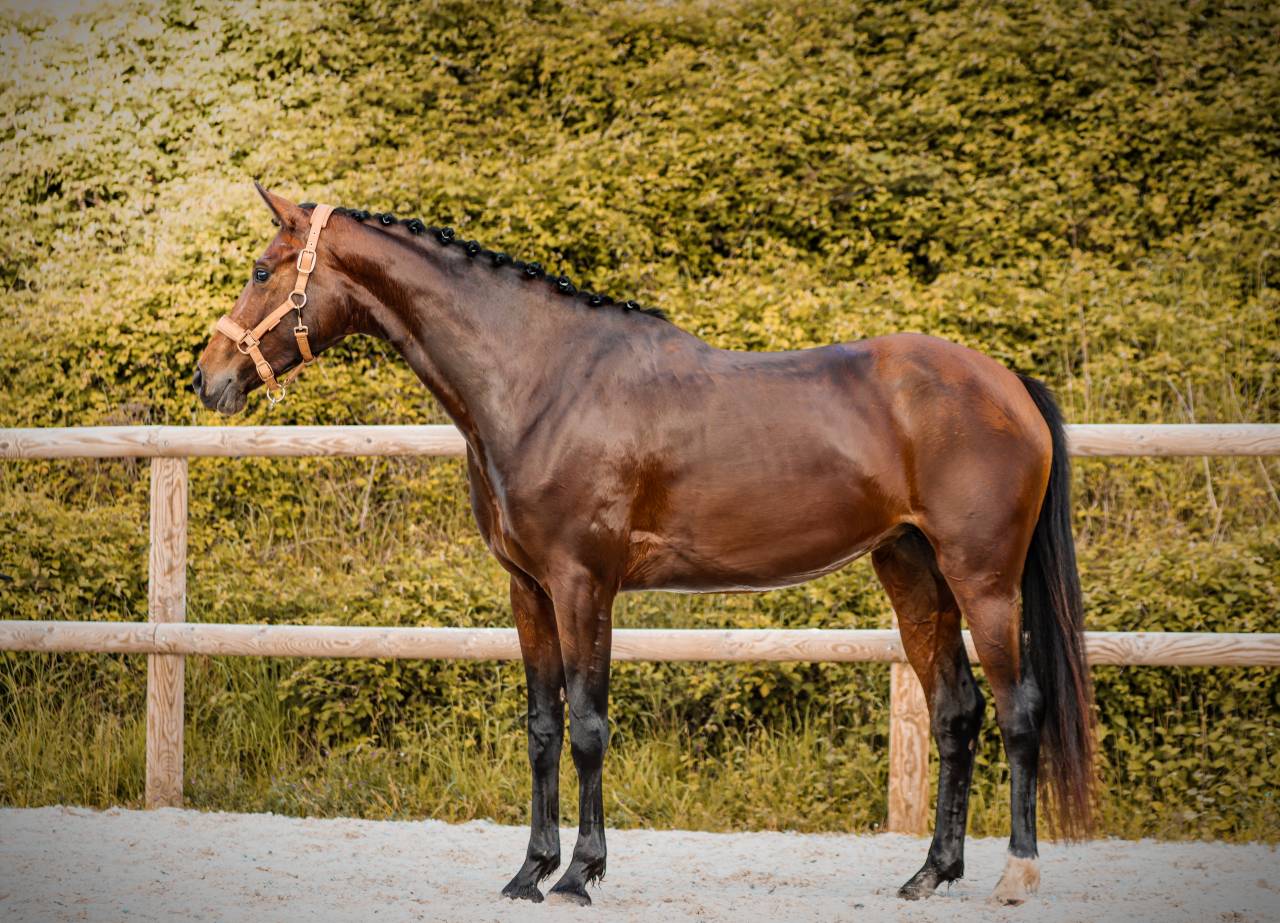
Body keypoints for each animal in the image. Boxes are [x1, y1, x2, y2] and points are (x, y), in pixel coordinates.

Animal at [195, 184, 1094, 907]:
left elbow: (589, 724)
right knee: (956, 712)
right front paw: (528, 871)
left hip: (984, 579)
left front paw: (577, 873)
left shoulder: (583, 582)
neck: (541, 381)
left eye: (263, 269)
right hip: (912, 570)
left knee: (1018, 709)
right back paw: (930, 873)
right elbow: (543, 726)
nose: (207, 378)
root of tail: (1007, 381)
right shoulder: (528, 589)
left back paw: (1016, 874)